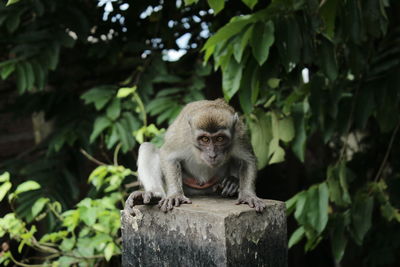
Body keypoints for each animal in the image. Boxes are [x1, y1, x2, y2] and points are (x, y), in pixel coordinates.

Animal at [123, 98, 264, 214]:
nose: (212, 155)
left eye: (220, 138)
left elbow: (248, 160)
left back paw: (232, 182)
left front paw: (247, 195)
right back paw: (155, 195)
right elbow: (168, 156)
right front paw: (175, 195)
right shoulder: (183, 136)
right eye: (205, 139)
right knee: (147, 147)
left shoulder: (239, 135)